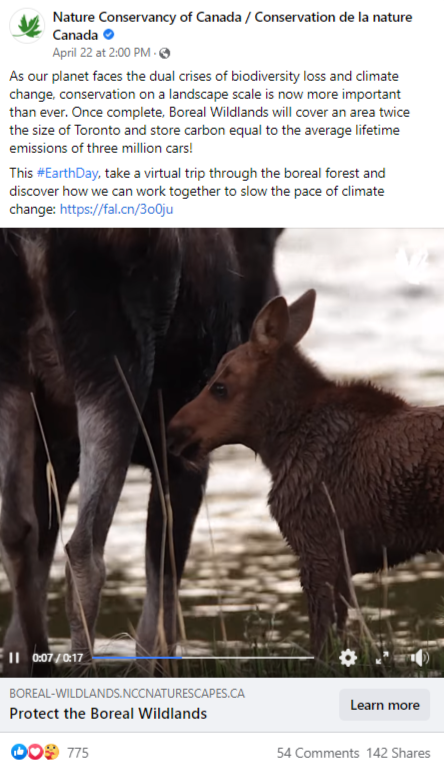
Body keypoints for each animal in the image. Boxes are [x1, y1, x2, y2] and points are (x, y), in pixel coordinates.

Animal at [168, 290, 444, 656]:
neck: (278, 448)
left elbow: (321, 644)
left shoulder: (316, 547)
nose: (173, 431)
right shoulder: (338, 562)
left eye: (220, 387)